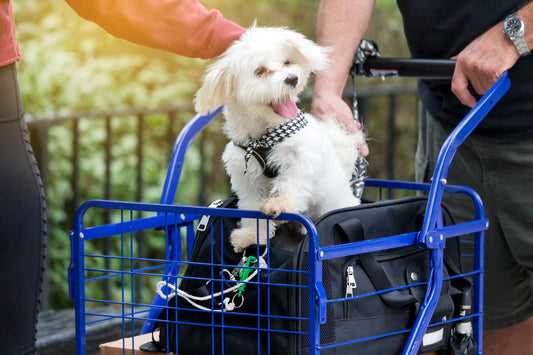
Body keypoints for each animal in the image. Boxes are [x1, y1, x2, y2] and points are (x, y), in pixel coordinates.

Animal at [195, 25, 366, 253]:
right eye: (259, 71)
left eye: (287, 63)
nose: (292, 78)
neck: (264, 136)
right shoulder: (245, 174)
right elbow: (251, 208)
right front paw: (252, 235)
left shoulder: (302, 155)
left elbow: (292, 182)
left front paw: (280, 203)